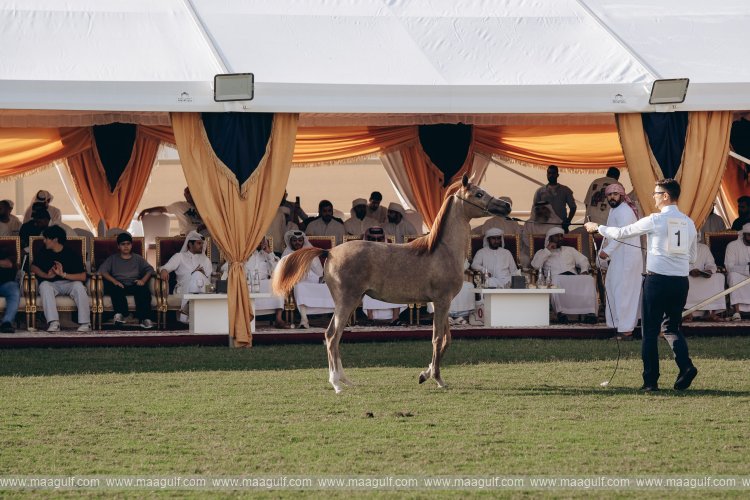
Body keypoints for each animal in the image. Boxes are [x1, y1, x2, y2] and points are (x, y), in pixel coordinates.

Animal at [272, 175, 510, 393]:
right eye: (478, 194)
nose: (506, 206)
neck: (441, 250)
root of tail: (329, 252)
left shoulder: (445, 303)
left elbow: (447, 340)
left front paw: (424, 374)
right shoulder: (441, 302)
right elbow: (437, 339)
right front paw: (437, 379)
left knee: (335, 337)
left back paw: (345, 380)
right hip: (346, 302)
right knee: (331, 336)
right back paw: (336, 384)